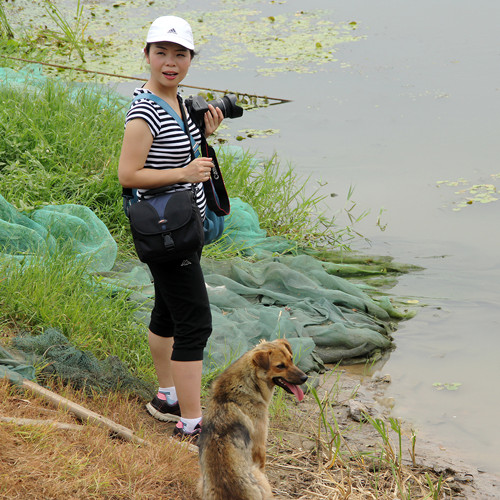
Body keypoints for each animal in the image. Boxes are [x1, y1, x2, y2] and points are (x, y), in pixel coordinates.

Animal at [197, 338, 306, 498]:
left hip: (201, 482)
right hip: (260, 477)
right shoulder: (260, 447)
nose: (305, 378)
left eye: (291, 359)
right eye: (280, 366)